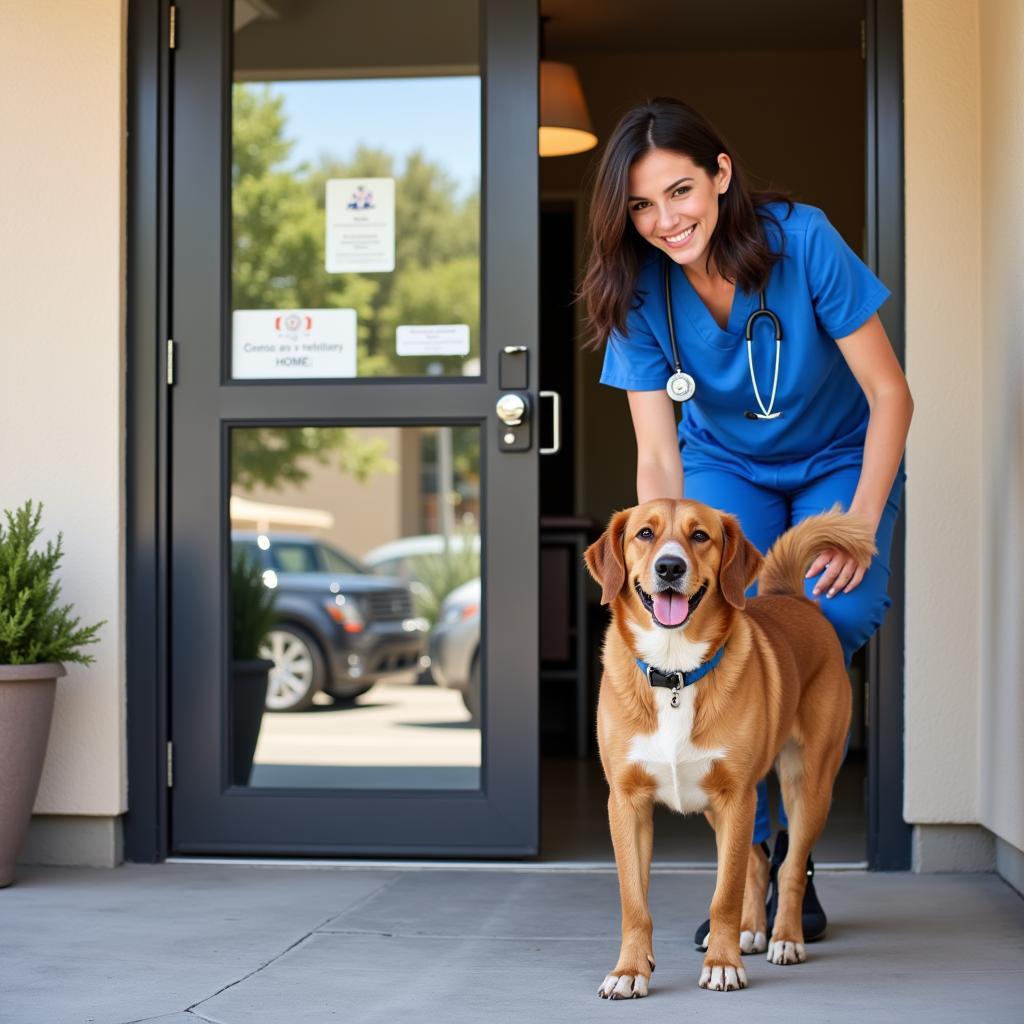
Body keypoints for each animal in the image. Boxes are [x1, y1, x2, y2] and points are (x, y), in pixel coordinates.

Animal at [585, 499, 872, 995]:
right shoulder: (627, 802)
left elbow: (726, 893)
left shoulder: (736, 796)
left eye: (700, 536)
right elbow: (634, 901)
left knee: (789, 865)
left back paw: (785, 937)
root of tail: (793, 597)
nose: (670, 566)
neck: (675, 672)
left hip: (807, 784)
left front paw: (722, 964)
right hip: (719, 808)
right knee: (757, 861)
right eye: (645, 534)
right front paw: (630, 971)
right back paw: (752, 930)